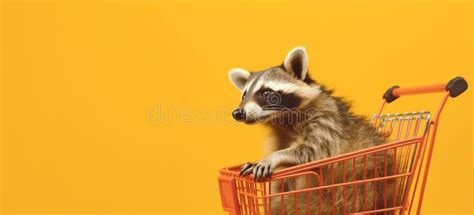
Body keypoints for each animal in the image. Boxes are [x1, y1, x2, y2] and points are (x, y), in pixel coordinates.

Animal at [228, 46, 394, 213]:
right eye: (244, 95)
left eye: (266, 93)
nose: (238, 113)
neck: (283, 120)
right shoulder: (279, 136)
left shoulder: (327, 123)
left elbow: (316, 151)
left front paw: (274, 157)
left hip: (354, 191)